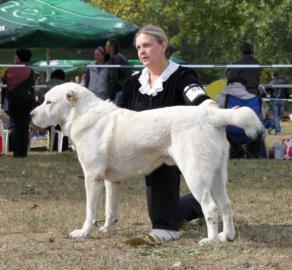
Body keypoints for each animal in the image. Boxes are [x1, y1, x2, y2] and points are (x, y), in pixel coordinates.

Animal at [30, 83, 264, 245]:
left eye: (48, 102)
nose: (31, 114)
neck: (82, 114)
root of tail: (210, 113)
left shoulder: (92, 177)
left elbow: (91, 211)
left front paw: (84, 232)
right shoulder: (111, 181)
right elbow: (110, 210)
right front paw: (108, 230)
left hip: (195, 176)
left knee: (211, 207)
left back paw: (211, 240)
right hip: (217, 176)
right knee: (226, 205)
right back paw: (227, 236)